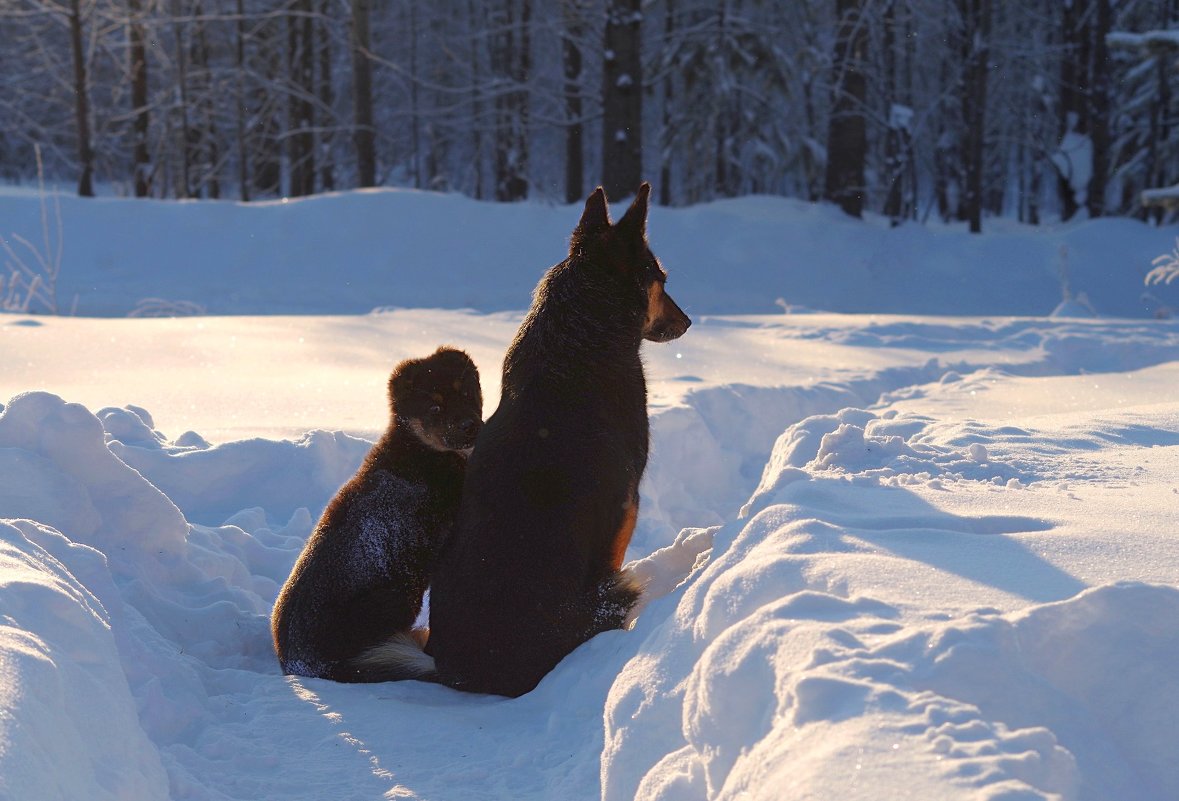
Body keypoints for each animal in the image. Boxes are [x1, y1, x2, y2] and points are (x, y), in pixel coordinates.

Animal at [269, 346, 478, 684]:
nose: (469, 425)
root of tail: (306, 665)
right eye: (434, 407)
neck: (419, 448)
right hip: (398, 596)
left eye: (468, 392)